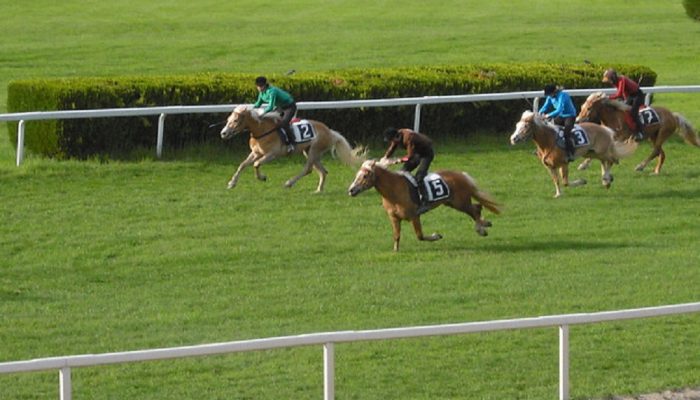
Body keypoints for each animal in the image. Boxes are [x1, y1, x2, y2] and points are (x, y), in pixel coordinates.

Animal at [220, 105, 370, 193]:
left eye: (235, 121)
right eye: (228, 119)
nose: (223, 133)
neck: (262, 130)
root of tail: (330, 132)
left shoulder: (272, 154)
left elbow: (256, 164)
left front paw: (262, 177)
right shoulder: (256, 152)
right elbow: (243, 165)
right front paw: (232, 183)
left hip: (314, 151)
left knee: (308, 169)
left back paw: (289, 183)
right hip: (310, 152)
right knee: (323, 171)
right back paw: (318, 190)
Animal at [348, 159, 500, 250]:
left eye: (365, 176)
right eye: (356, 175)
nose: (351, 190)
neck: (393, 190)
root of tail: (462, 175)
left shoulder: (414, 215)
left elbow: (419, 236)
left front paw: (437, 235)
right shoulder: (394, 218)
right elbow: (396, 236)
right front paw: (395, 251)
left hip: (460, 202)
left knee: (475, 210)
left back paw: (481, 228)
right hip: (452, 203)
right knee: (477, 208)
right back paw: (484, 224)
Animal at [508, 110, 640, 198]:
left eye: (525, 126)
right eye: (517, 125)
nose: (513, 139)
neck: (548, 141)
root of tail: (605, 129)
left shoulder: (564, 163)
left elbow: (565, 182)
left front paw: (582, 181)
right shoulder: (550, 166)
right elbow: (556, 180)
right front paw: (558, 194)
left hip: (601, 151)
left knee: (612, 160)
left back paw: (606, 178)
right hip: (591, 153)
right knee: (604, 162)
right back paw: (606, 181)